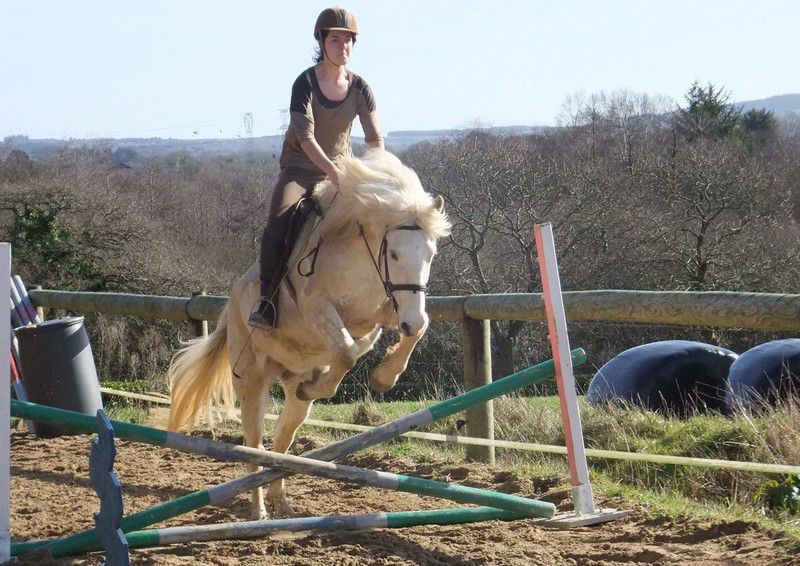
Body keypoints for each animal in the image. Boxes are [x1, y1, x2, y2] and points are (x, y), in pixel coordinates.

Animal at [166, 149, 451, 519]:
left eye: (431, 254)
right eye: (394, 254)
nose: (409, 322)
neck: (358, 254)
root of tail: (231, 304)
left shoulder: (387, 309)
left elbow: (410, 330)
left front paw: (384, 376)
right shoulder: (319, 308)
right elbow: (346, 351)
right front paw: (342, 380)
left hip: (291, 382)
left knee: (282, 440)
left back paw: (282, 499)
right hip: (252, 379)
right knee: (253, 444)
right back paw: (259, 510)